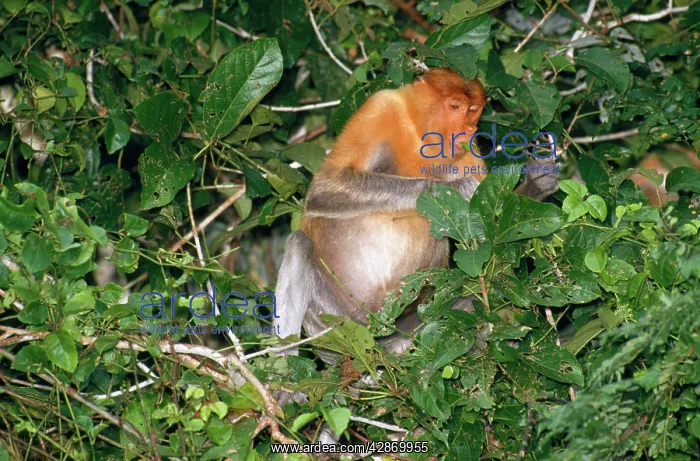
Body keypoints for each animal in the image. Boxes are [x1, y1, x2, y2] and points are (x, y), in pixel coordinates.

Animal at [274, 68, 560, 358]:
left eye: (473, 110)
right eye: (454, 106)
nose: (468, 130)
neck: (421, 132)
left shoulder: (468, 150)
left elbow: (488, 240)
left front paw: (539, 182)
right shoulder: (381, 107)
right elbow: (326, 188)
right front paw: (457, 188)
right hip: (336, 324)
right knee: (299, 243)